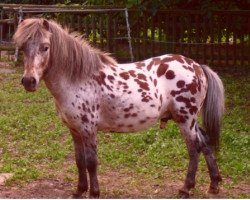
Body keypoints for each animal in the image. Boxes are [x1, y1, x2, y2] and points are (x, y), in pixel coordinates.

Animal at [13, 17, 225, 198]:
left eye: (45, 47)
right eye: (22, 47)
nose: (29, 81)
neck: (78, 79)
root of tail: (197, 66)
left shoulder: (88, 130)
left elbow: (91, 162)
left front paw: (94, 193)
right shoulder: (75, 130)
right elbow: (79, 161)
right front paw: (79, 191)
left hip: (185, 120)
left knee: (194, 149)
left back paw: (186, 189)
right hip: (188, 120)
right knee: (205, 143)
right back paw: (214, 184)